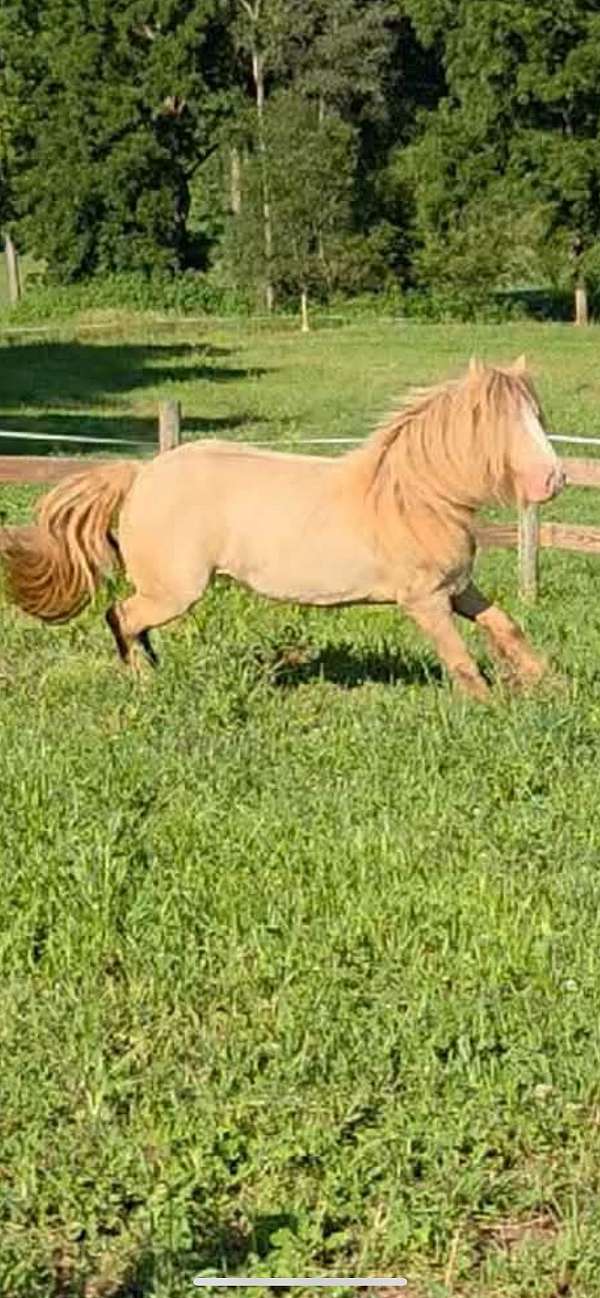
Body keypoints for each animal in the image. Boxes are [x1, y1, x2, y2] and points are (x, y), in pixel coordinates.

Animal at [1, 356, 565, 701]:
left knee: (131, 624)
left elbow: (505, 627)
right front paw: (490, 705)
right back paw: (145, 682)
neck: (415, 499)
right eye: (501, 423)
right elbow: (460, 659)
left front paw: (552, 685)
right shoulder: (424, 601)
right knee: (121, 616)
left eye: (538, 416)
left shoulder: (458, 589)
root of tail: (141, 475)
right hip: (174, 591)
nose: (553, 479)